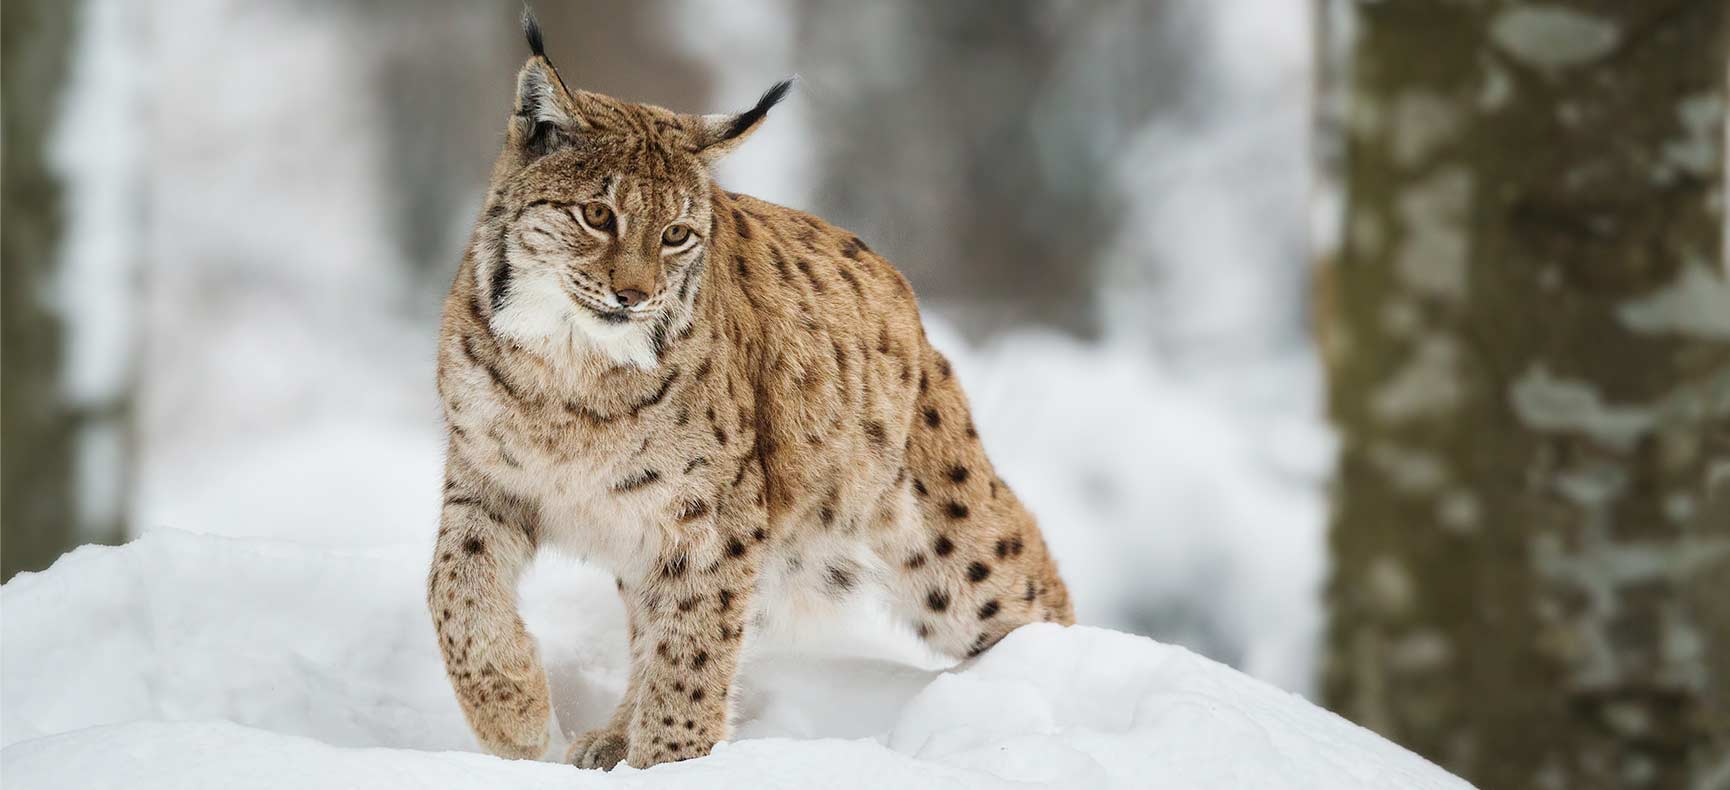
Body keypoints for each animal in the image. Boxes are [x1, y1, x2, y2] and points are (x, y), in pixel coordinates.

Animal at [428, 9, 1074, 771]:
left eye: (677, 234)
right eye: (597, 216)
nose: (634, 296)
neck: (567, 360)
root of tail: (903, 294)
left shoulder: (713, 514)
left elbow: (693, 654)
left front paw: (670, 765)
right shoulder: (484, 479)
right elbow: (454, 589)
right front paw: (513, 715)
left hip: (947, 545)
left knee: (1032, 584)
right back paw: (612, 733)